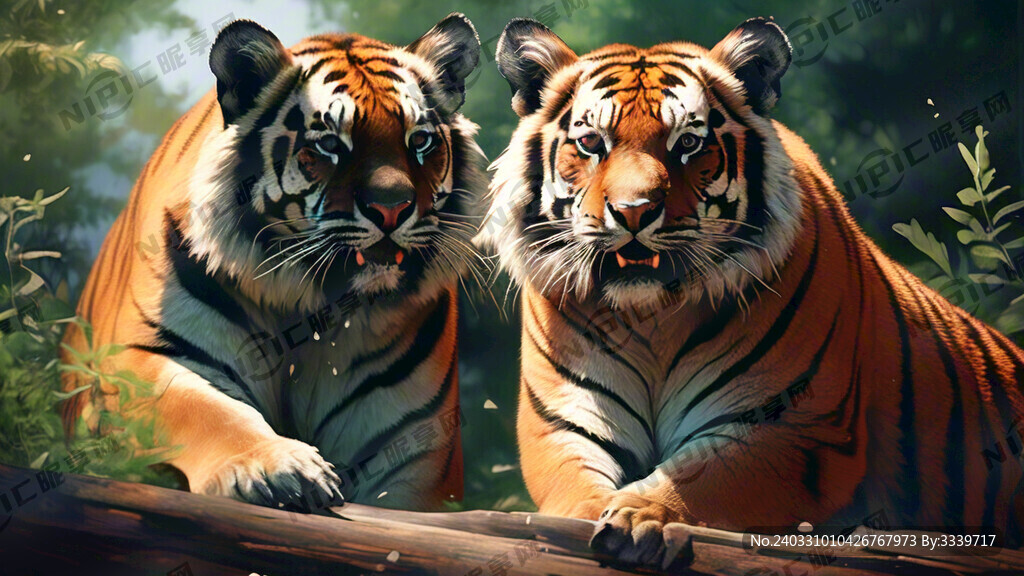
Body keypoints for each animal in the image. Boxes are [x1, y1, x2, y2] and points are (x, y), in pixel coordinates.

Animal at [60, 14, 487, 513]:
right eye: (329, 145)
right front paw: (281, 471)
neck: (311, 308)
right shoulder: (139, 358)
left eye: (419, 140)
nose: (392, 207)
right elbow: (205, 409)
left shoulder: (415, 444)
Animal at [476, 16, 1024, 566]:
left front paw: (636, 517)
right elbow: (575, 489)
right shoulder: (564, 421)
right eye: (592, 143)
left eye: (687, 144)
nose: (633, 212)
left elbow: (695, 476)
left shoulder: (791, 425)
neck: (650, 315)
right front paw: (585, 523)